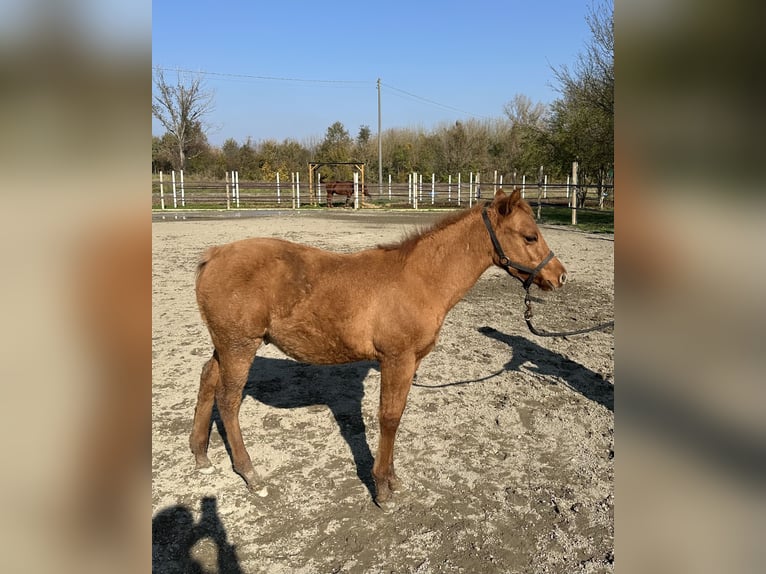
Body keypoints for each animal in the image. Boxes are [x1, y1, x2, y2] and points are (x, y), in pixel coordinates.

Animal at [190, 188, 567, 503]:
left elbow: (395, 414)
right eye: (530, 236)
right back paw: (252, 475)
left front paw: (393, 479)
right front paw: (383, 488)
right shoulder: (396, 358)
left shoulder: (411, 361)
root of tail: (214, 255)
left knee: (207, 379)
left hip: (225, 345)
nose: (559, 276)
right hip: (240, 346)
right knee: (228, 401)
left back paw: (200, 455)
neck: (418, 279)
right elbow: (389, 417)